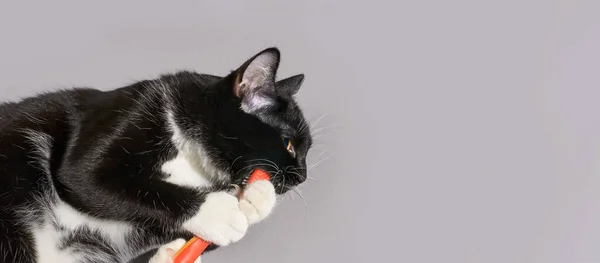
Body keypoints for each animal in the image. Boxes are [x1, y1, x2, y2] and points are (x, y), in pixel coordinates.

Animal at [0, 48, 312, 263]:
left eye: (306, 150)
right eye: (289, 144)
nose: (302, 177)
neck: (190, 153)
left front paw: (254, 198)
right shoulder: (133, 107)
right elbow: (85, 177)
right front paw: (216, 211)